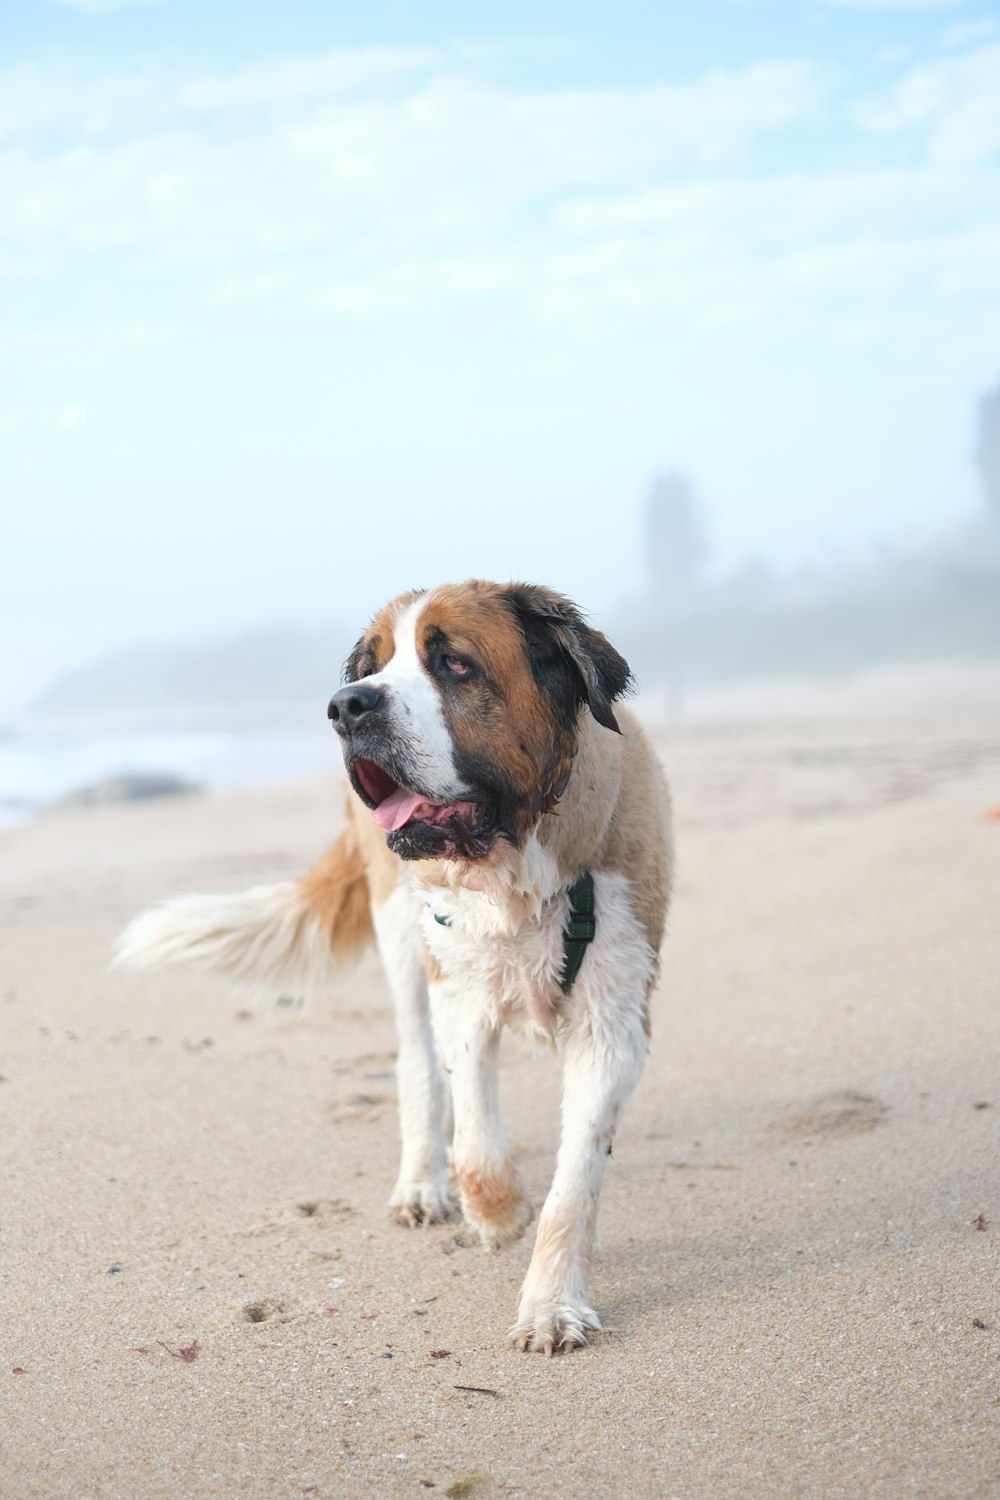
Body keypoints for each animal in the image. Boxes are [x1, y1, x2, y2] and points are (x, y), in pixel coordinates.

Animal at [115, 579, 671, 1356]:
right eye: (373, 666)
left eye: (454, 664)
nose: (348, 705)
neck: (515, 867)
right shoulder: (458, 990)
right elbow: (475, 1142)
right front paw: (498, 1216)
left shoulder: (612, 1019)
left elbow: (577, 1174)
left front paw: (551, 1303)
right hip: (402, 942)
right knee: (417, 1066)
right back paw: (422, 1186)